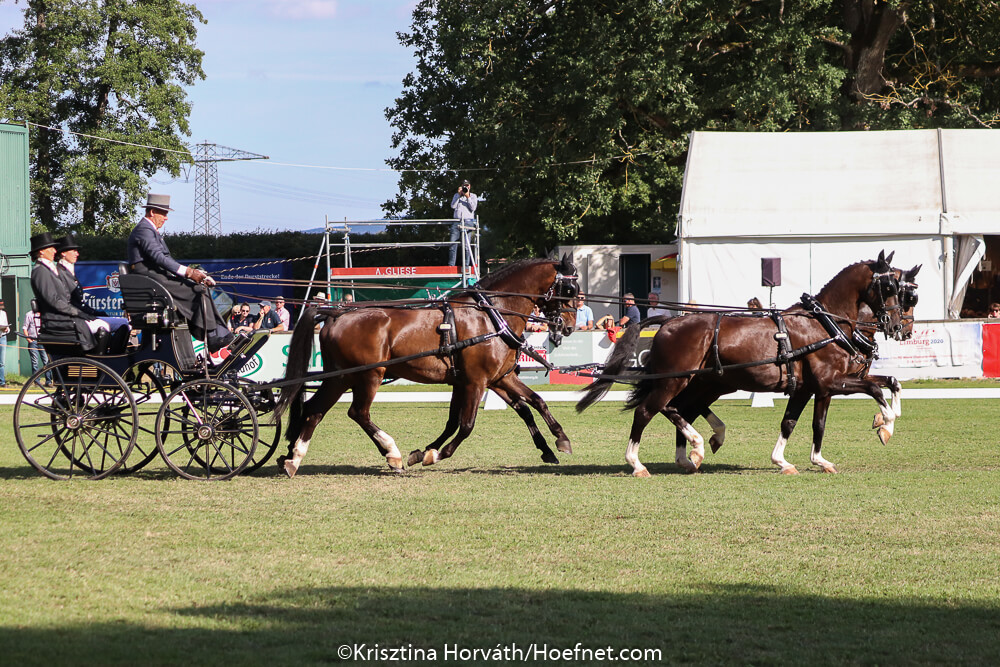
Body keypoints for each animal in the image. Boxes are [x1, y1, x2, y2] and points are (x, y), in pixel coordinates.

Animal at [272, 256, 579, 477]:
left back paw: (293, 458)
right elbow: (466, 425)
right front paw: (435, 454)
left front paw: (558, 442)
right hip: (368, 376)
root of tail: (334, 314)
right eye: (569, 288)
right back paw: (392, 454)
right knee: (357, 412)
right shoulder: (476, 381)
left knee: (314, 410)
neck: (491, 315)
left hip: (340, 378)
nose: (569, 327)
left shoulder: (495, 378)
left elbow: (533, 404)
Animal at [577, 252, 905, 476]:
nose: (897, 325)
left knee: (679, 409)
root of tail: (669, 320)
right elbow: (875, 389)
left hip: (703, 383)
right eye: (890, 286)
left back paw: (691, 453)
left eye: (902, 288)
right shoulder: (831, 382)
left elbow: (806, 422)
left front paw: (804, 461)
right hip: (675, 380)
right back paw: (639, 463)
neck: (825, 325)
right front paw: (886, 424)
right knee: (648, 410)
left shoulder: (814, 388)